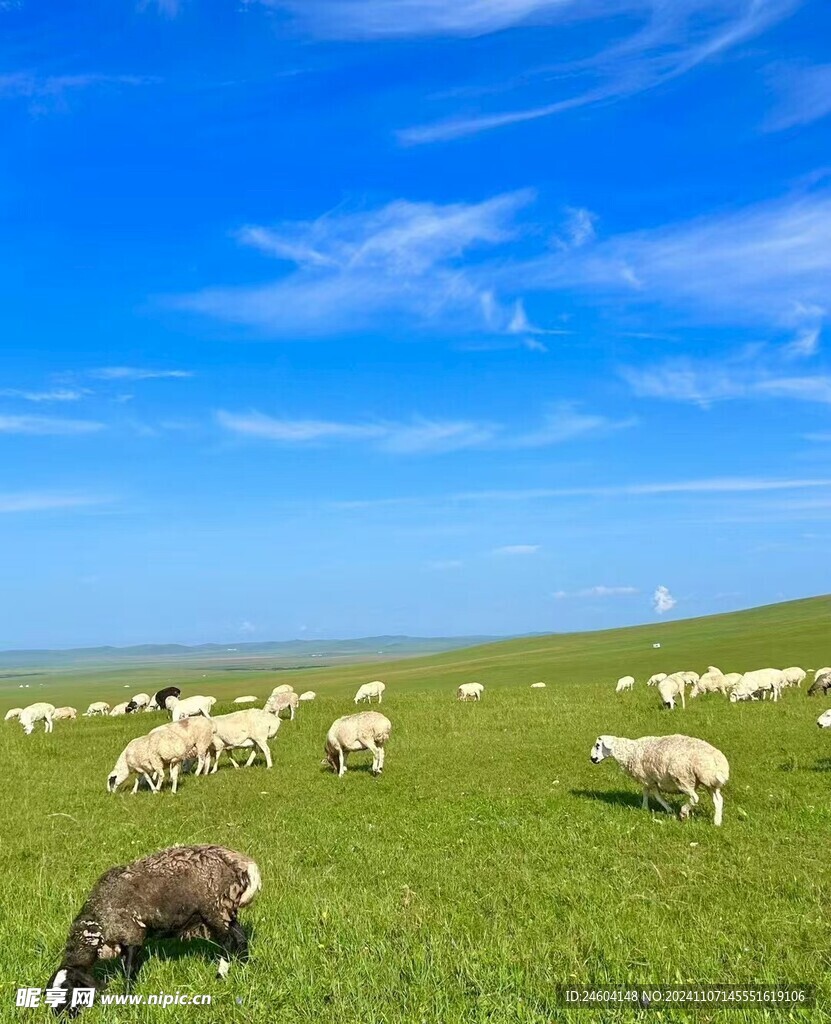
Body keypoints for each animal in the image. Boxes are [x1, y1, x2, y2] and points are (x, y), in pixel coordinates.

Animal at [42, 839, 261, 1015]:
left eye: (68, 990)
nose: (57, 1016)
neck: (97, 927)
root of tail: (240, 862)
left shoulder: (131, 934)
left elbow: (129, 970)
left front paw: (126, 999)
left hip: (214, 909)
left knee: (228, 942)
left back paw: (221, 975)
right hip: (227, 911)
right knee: (240, 938)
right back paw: (244, 967)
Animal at [589, 733, 728, 827]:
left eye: (597, 745)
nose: (592, 759)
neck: (629, 752)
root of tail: (718, 763)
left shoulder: (647, 778)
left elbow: (654, 795)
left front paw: (661, 809)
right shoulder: (649, 778)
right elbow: (650, 793)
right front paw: (648, 808)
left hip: (683, 778)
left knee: (695, 798)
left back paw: (683, 813)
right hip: (710, 782)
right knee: (718, 800)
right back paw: (717, 821)